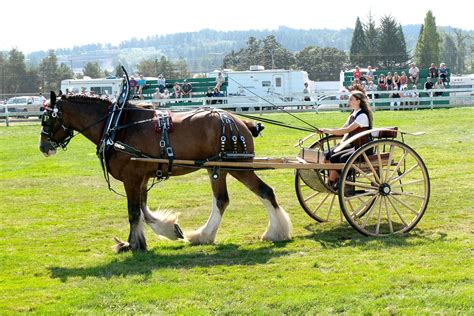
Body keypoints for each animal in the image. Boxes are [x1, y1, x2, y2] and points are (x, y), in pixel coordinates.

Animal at [39, 91, 292, 252]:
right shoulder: (141, 178)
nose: (43, 147)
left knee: (258, 193)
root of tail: (240, 121)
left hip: (236, 167)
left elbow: (133, 212)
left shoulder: (132, 178)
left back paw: (271, 232)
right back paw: (208, 235)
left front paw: (132, 244)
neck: (116, 125)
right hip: (220, 168)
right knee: (229, 199)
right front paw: (168, 230)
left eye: (47, 119)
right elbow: (143, 210)